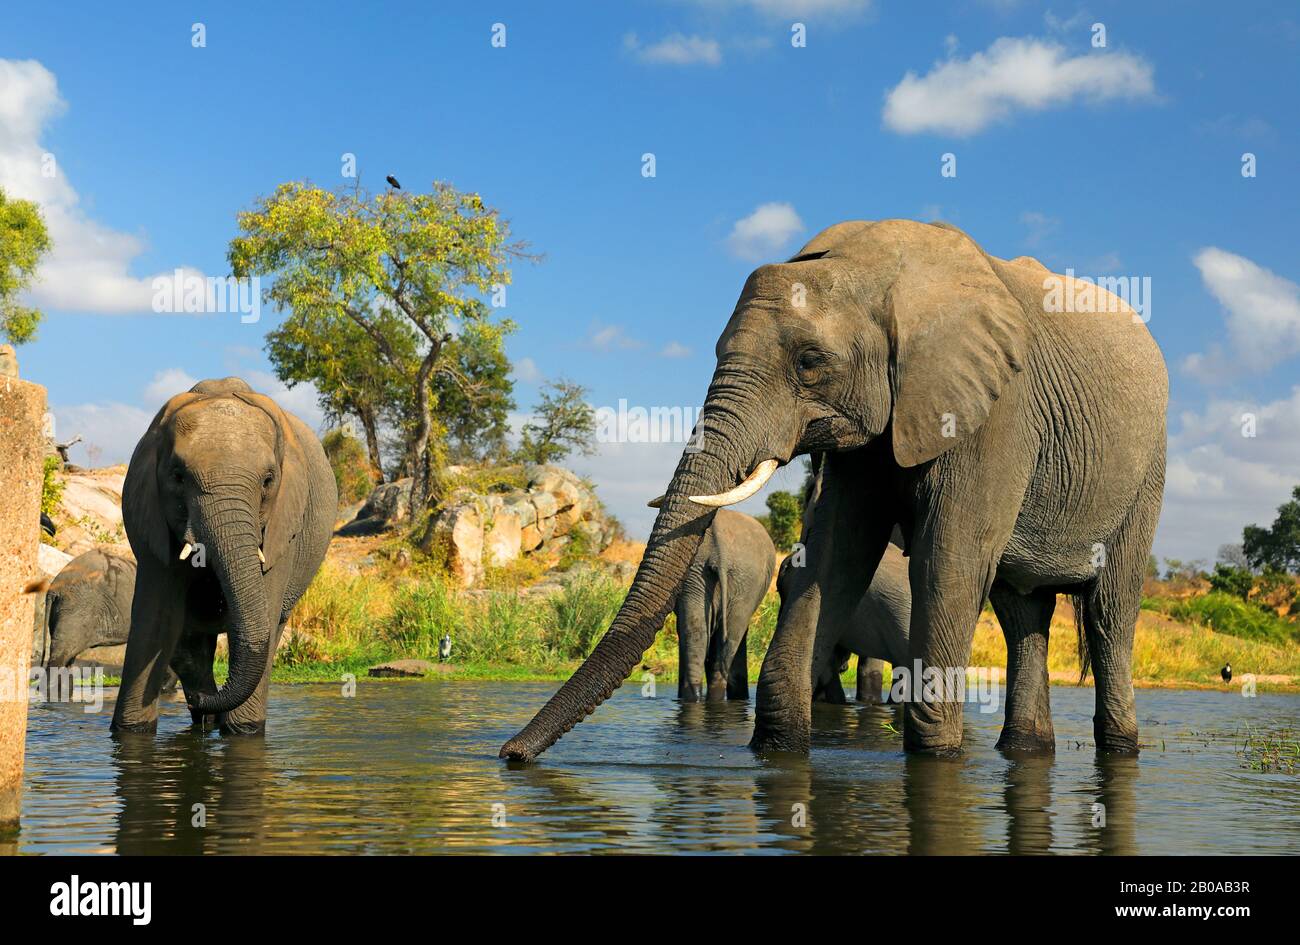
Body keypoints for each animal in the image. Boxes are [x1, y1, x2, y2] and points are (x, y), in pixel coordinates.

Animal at [112, 379, 335, 738]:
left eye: (268, 481)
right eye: (177, 476)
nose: (198, 701)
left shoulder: (283, 523)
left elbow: (263, 616)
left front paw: (242, 730)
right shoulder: (152, 521)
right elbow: (156, 621)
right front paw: (131, 730)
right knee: (188, 645)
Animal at [499, 218, 1170, 764]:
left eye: (810, 362)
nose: (509, 754)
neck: (878, 273)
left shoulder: (996, 413)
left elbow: (950, 561)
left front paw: (936, 755)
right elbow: (834, 555)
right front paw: (778, 747)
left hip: (1149, 469)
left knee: (1110, 612)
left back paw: (1118, 745)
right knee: (1021, 610)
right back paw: (1026, 750)